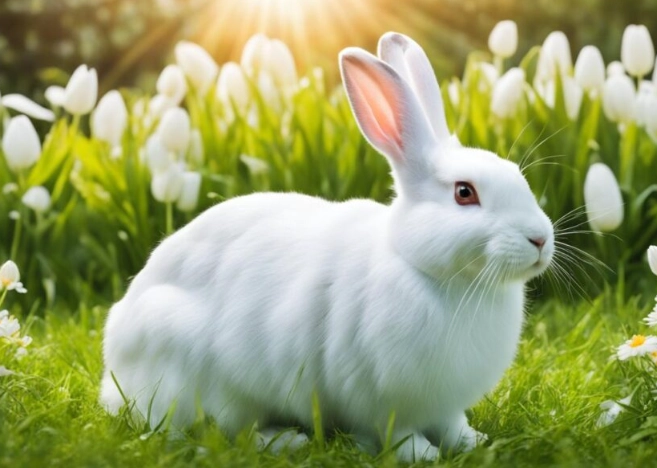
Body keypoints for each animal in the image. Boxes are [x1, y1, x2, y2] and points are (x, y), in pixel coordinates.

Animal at [100, 32, 554, 462]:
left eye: (517, 175)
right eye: (464, 193)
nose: (540, 239)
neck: (426, 270)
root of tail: (116, 371)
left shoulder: (444, 405)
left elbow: (452, 424)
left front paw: (475, 442)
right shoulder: (380, 398)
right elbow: (395, 430)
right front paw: (420, 454)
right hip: (207, 376)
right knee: (225, 431)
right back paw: (288, 441)